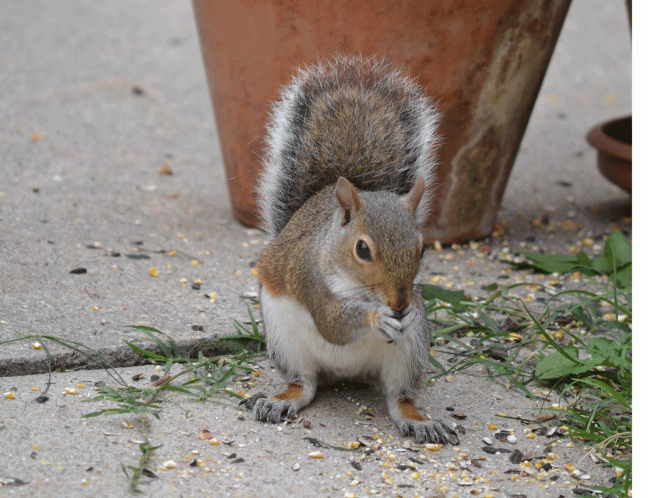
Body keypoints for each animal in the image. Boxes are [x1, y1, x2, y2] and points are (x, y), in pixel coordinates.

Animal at [241, 55, 458, 445]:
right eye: (362, 249)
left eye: (421, 248)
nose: (399, 304)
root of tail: (346, 372)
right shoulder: (310, 278)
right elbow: (333, 323)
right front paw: (376, 318)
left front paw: (405, 313)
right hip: (285, 340)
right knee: (305, 384)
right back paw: (281, 400)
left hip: (409, 354)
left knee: (399, 397)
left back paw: (419, 421)